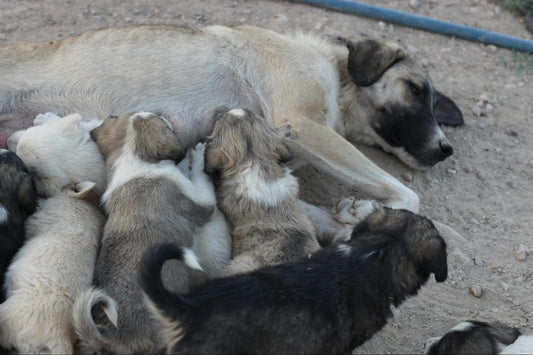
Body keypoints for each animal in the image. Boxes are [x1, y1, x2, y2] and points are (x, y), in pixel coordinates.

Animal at [73, 112, 229, 354]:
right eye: (164, 122)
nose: (162, 112)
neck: (134, 160)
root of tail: (112, 335)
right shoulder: (203, 201)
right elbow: (198, 175)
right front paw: (197, 155)